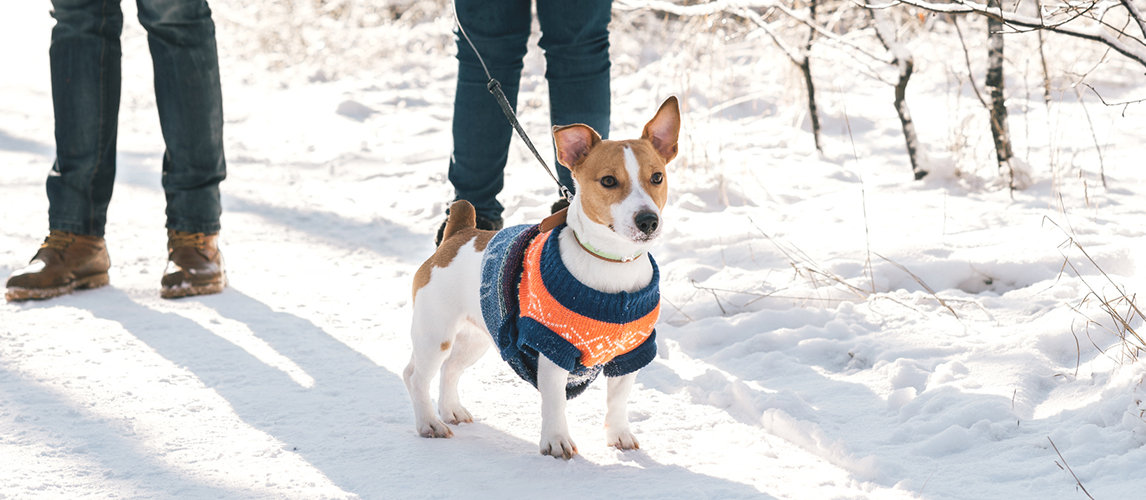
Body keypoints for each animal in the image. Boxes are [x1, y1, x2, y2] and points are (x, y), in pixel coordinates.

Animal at [405, 95, 678, 458]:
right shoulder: (551, 346)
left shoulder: (630, 351)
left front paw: (620, 436)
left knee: (450, 369)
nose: (648, 220)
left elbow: (618, 399)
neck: (612, 262)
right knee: (415, 375)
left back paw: (452, 411)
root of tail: (458, 234)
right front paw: (556, 441)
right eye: (608, 181)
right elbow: (554, 401)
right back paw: (429, 423)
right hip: (435, 332)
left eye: (657, 177)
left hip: (476, 337)